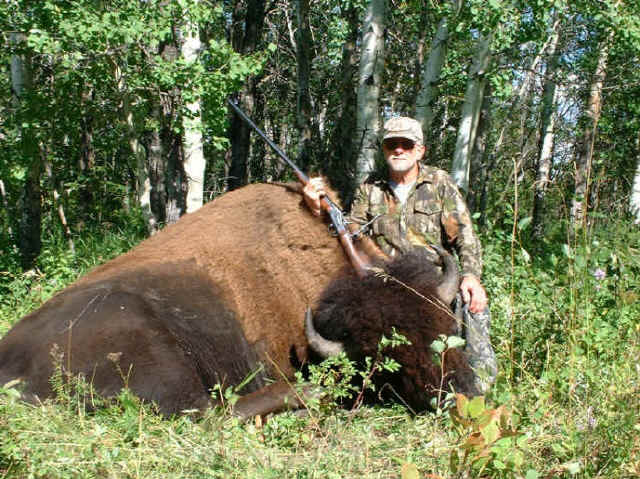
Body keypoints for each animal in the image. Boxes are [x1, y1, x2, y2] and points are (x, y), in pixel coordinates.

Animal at [0, 183, 477, 418]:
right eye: (386, 357)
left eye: (447, 327)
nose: (454, 394)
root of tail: (9, 360)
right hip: (150, 344)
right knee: (207, 415)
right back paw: (307, 400)